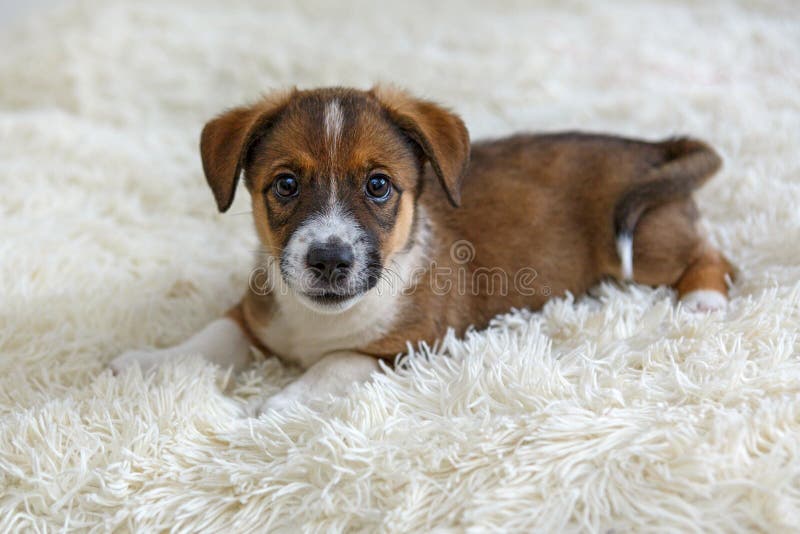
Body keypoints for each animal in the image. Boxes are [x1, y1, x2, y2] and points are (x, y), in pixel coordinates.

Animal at [109, 87, 736, 414]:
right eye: (285, 184)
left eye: (378, 185)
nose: (329, 260)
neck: (318, 320)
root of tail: (655, 150)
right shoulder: (254, 314)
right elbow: (207, 339)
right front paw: (147, 363)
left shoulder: (410, 346)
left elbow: (337, 362)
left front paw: (279, 405)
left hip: (645, 242)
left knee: (714, 257)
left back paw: (702, 302)